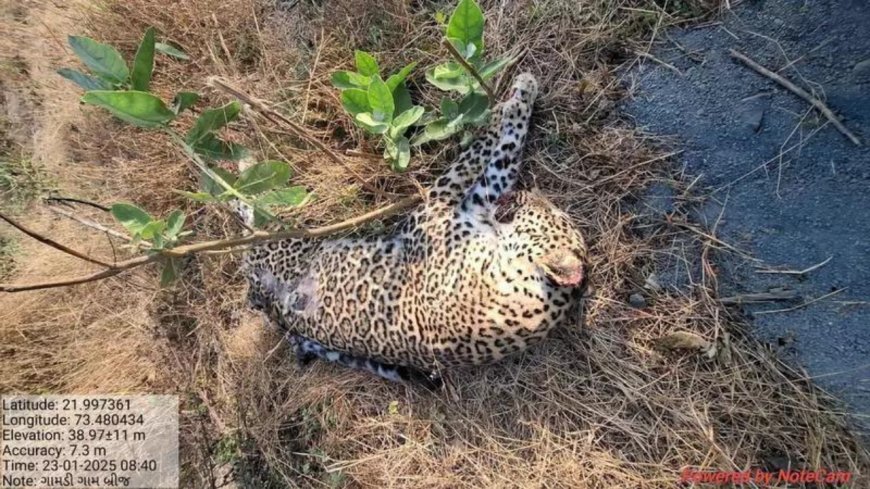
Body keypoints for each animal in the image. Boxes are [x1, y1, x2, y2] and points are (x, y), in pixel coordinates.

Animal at [240, 73, 588, 385]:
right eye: (554, 212)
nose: (531, 194)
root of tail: (266, 301)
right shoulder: (476, 201)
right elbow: (502, 150)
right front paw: (520, 96)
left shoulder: (440, 206)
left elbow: (480, 151)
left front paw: (516, 97)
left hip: (281, 245)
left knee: (253, 223)